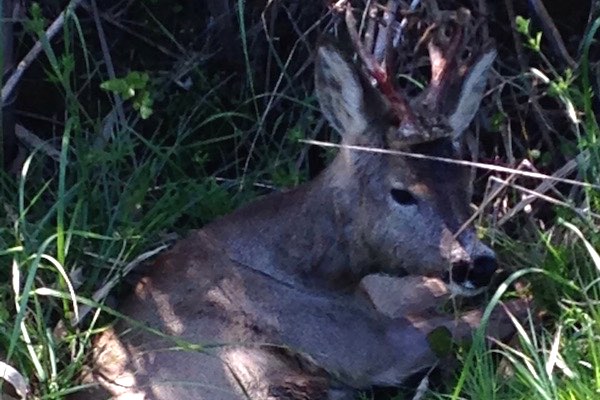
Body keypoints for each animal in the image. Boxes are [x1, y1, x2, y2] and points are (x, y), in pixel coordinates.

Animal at [81, 7, 510, 400]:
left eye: (465, 180)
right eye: (402, 192)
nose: (478, 264)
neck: (314, 270)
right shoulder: (359, 345)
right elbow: (490, 316)